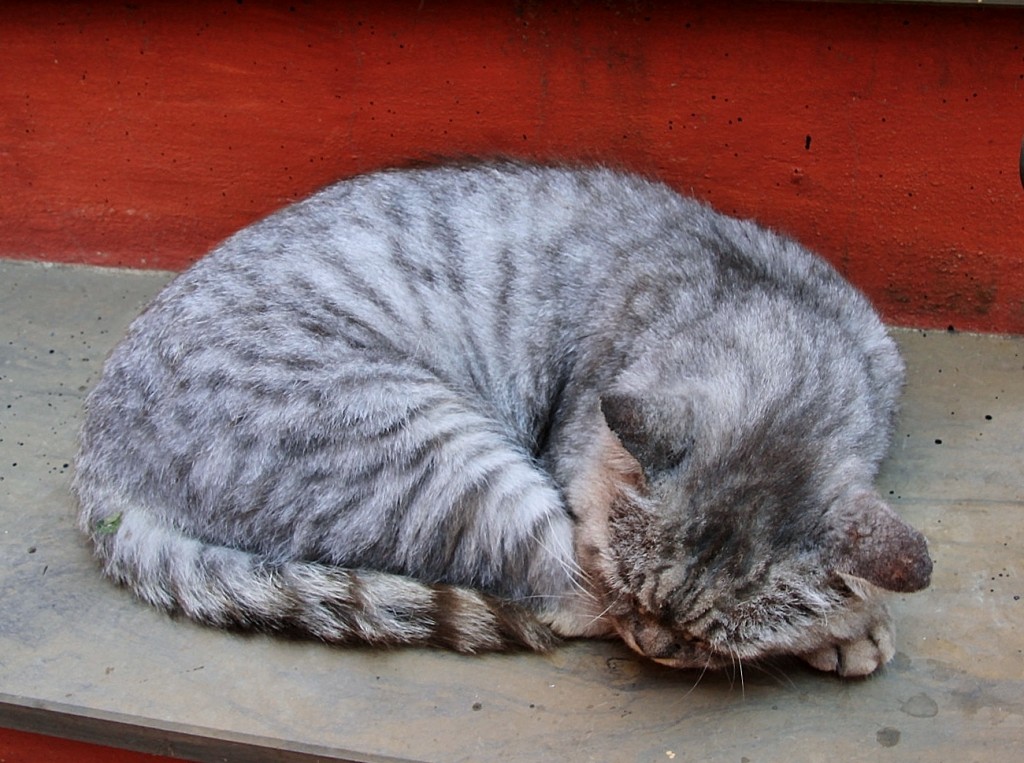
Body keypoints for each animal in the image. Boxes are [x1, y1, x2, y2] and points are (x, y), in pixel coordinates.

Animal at [75, 161, 933, 680]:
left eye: (706, 640)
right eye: (641, 599)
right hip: (444, 457)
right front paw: (849, 622)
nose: (655, 644)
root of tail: (100, 465)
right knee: (553, 593)